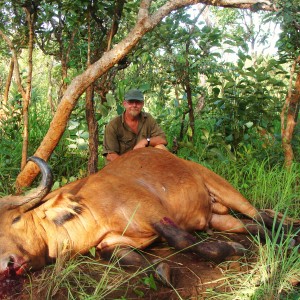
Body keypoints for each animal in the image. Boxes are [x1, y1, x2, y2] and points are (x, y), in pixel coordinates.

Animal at [0, 149, 298, 284]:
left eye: (16, 219)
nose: (7, 265)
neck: (92, 209)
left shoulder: (155, 215)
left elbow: (184, 242)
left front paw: (228, 249)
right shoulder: (109, 246)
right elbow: (135, 262)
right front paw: (160, 269)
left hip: (226, 190)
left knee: (260, 215)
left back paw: (288, 237)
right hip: (219, 218)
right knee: (249, 226)